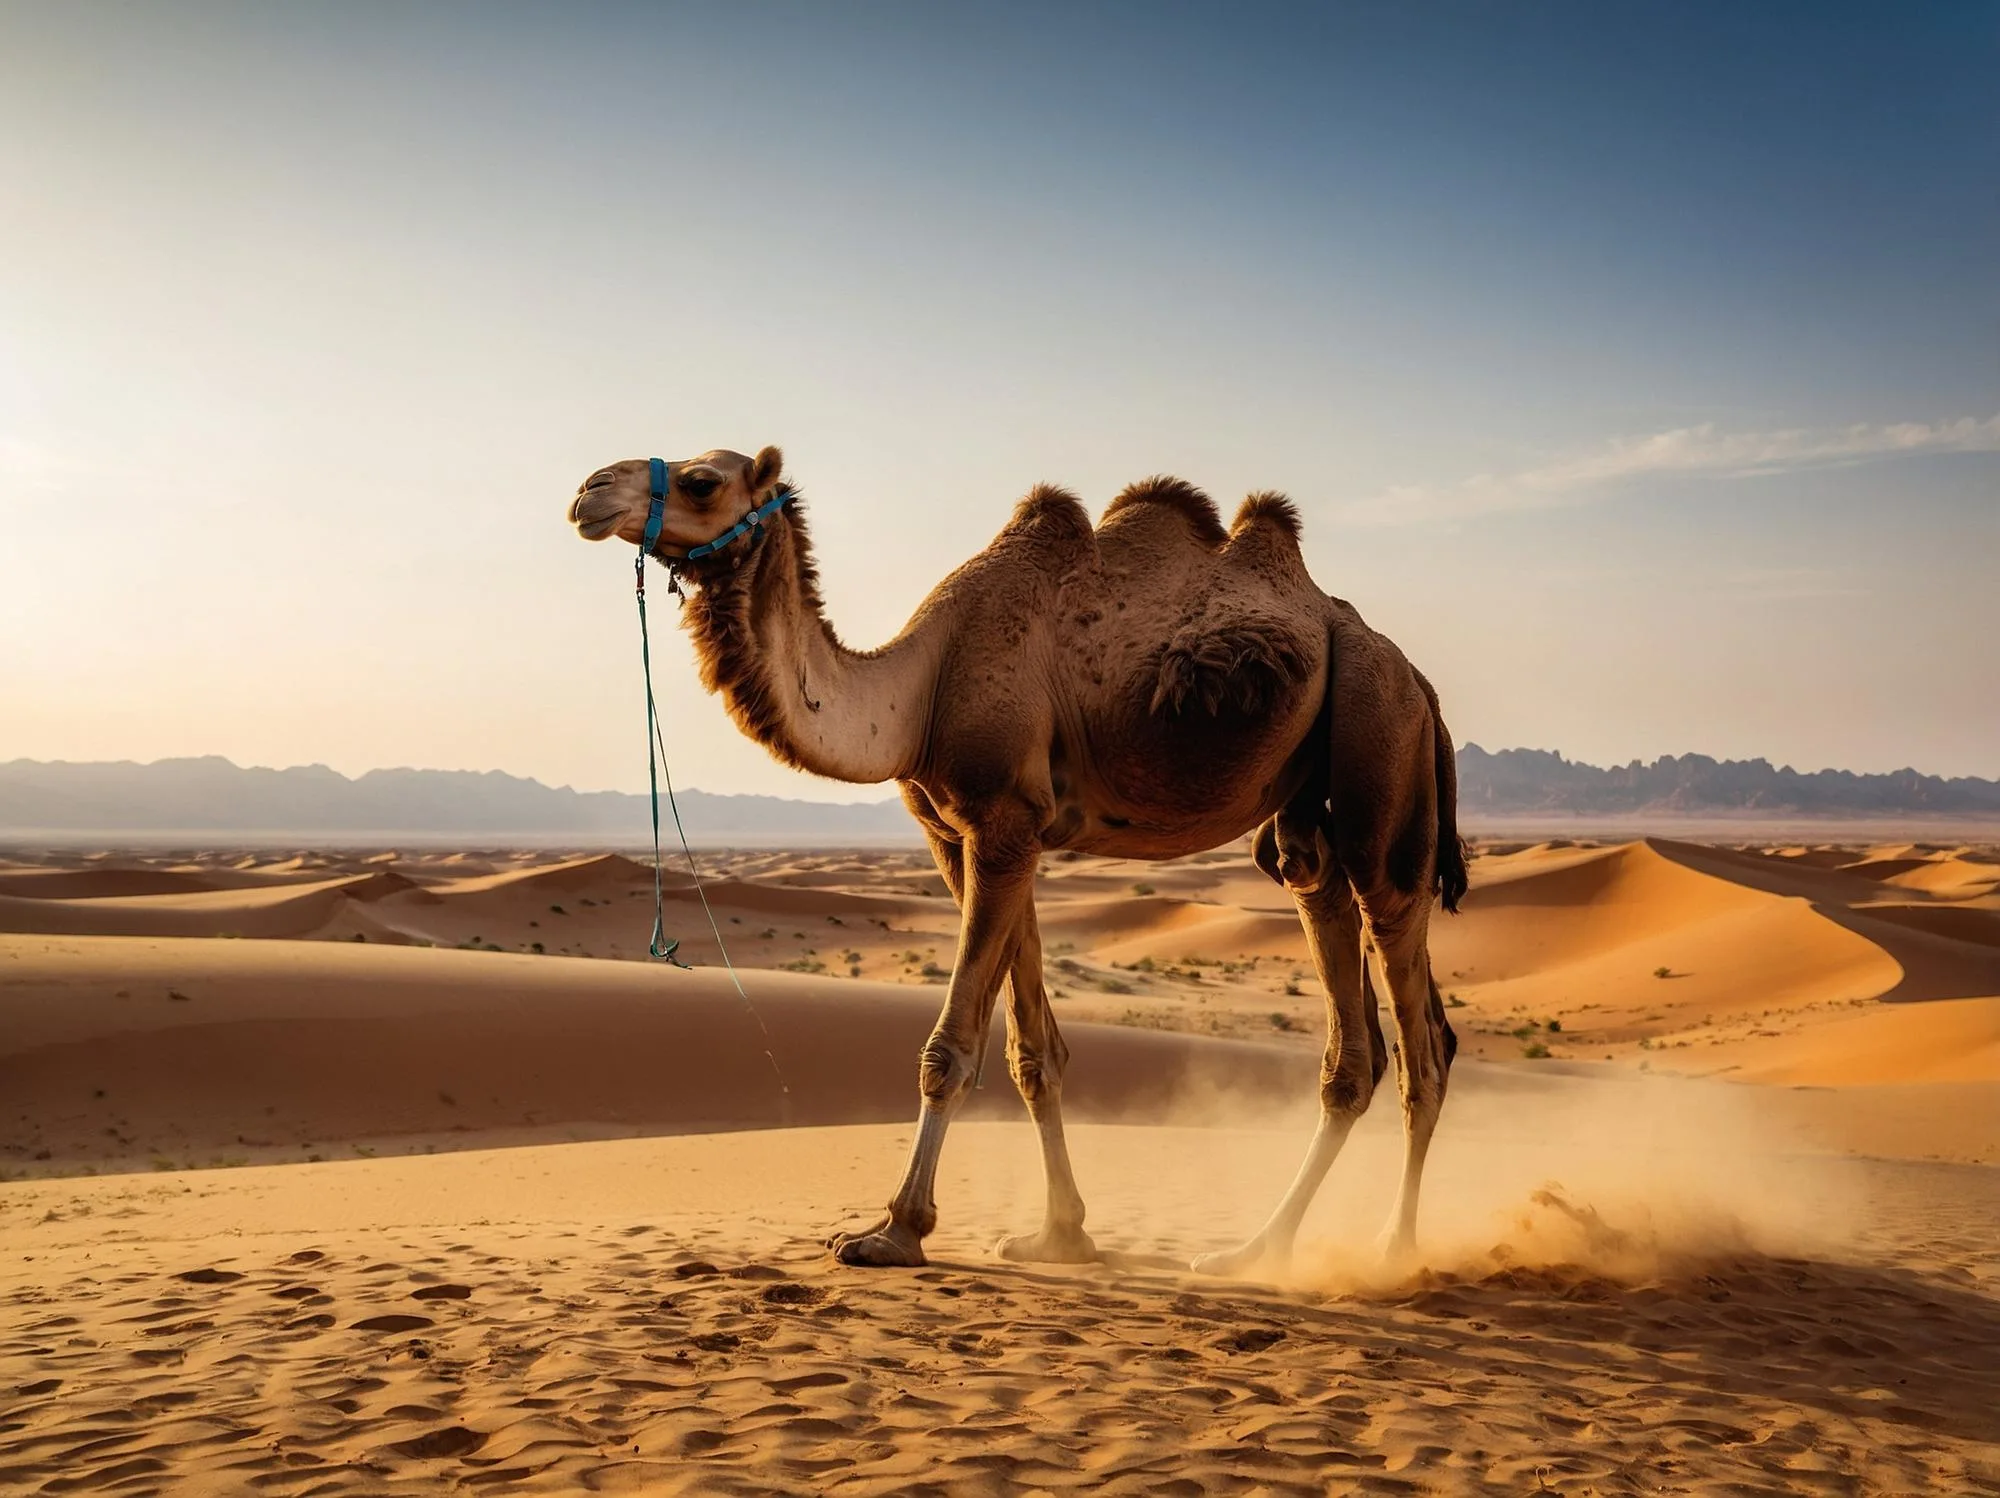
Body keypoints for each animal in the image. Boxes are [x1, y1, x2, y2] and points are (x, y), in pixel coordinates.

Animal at [567, 447, 1466, 1274]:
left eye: (701, 480)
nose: (588, 492)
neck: (917, 689)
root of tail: (1418, 676)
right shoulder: (972, 836)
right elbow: (1033, 1052)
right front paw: (1060, 1235)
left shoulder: (999, 820)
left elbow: (949, 1047)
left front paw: (892, 1231)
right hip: (1307, 805)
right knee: (1349, 1019)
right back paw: (1255, 1251)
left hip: (1378, 735)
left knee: (1420, 1030)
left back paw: (1393, 1252)